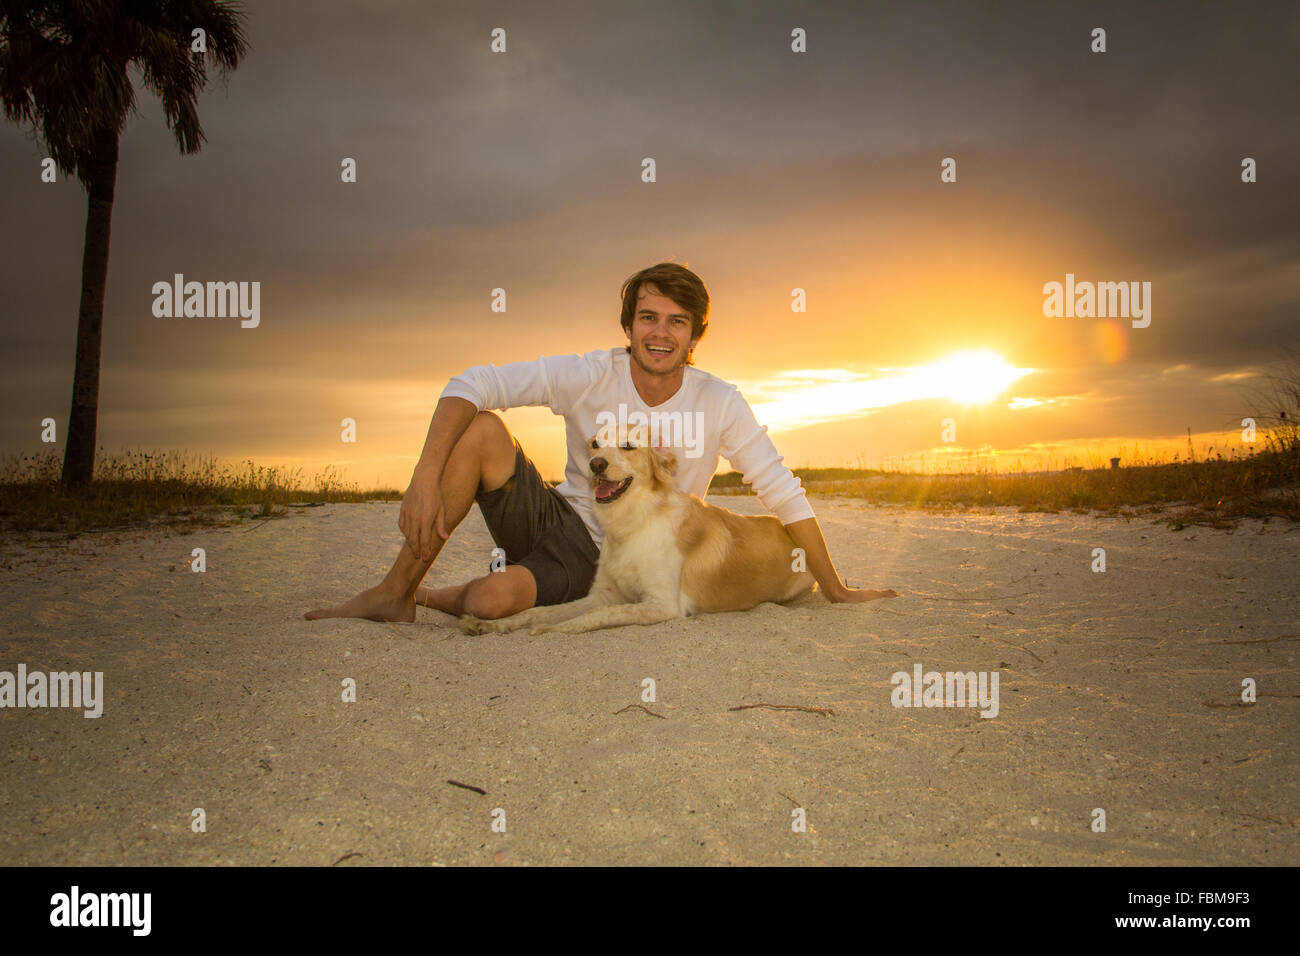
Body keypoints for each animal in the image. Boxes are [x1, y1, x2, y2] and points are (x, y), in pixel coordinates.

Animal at [462, 426, 811, 634]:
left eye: (628, 446)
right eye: (594, 445)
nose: (596, 464)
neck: (632, 522)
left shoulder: (661, 604)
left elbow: (591, 618)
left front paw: (554, 630)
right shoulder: (602, 594)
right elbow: (540, 611)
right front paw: (490, 624)